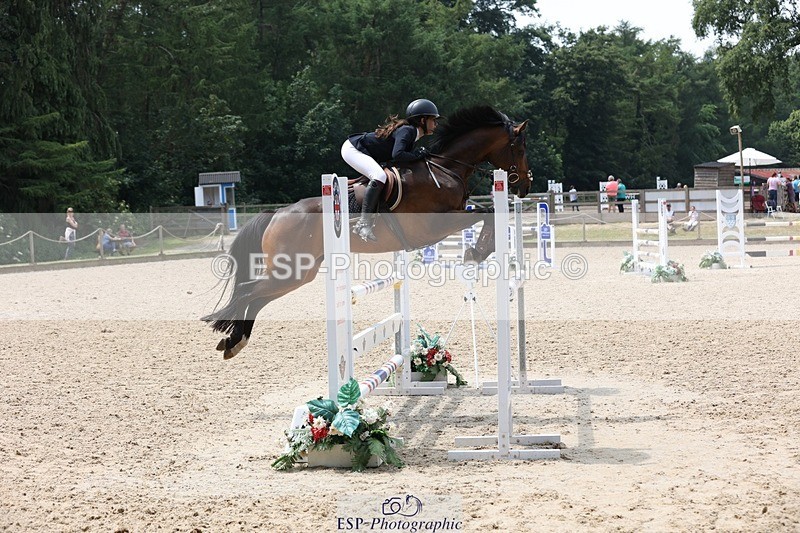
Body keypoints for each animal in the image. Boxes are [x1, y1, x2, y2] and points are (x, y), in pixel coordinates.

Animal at [203, 106, 531, 359]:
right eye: (520, 147)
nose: (525, 186)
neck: (445, 169)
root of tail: (278, 214)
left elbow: (486, 212)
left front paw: (477, 251)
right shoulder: (434, 225)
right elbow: (487, 214)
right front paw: (476, 252)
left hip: (298, 273)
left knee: (257, 296)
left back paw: (234, 342)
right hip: (291, 269)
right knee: (248, 291)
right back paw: (230, 336)